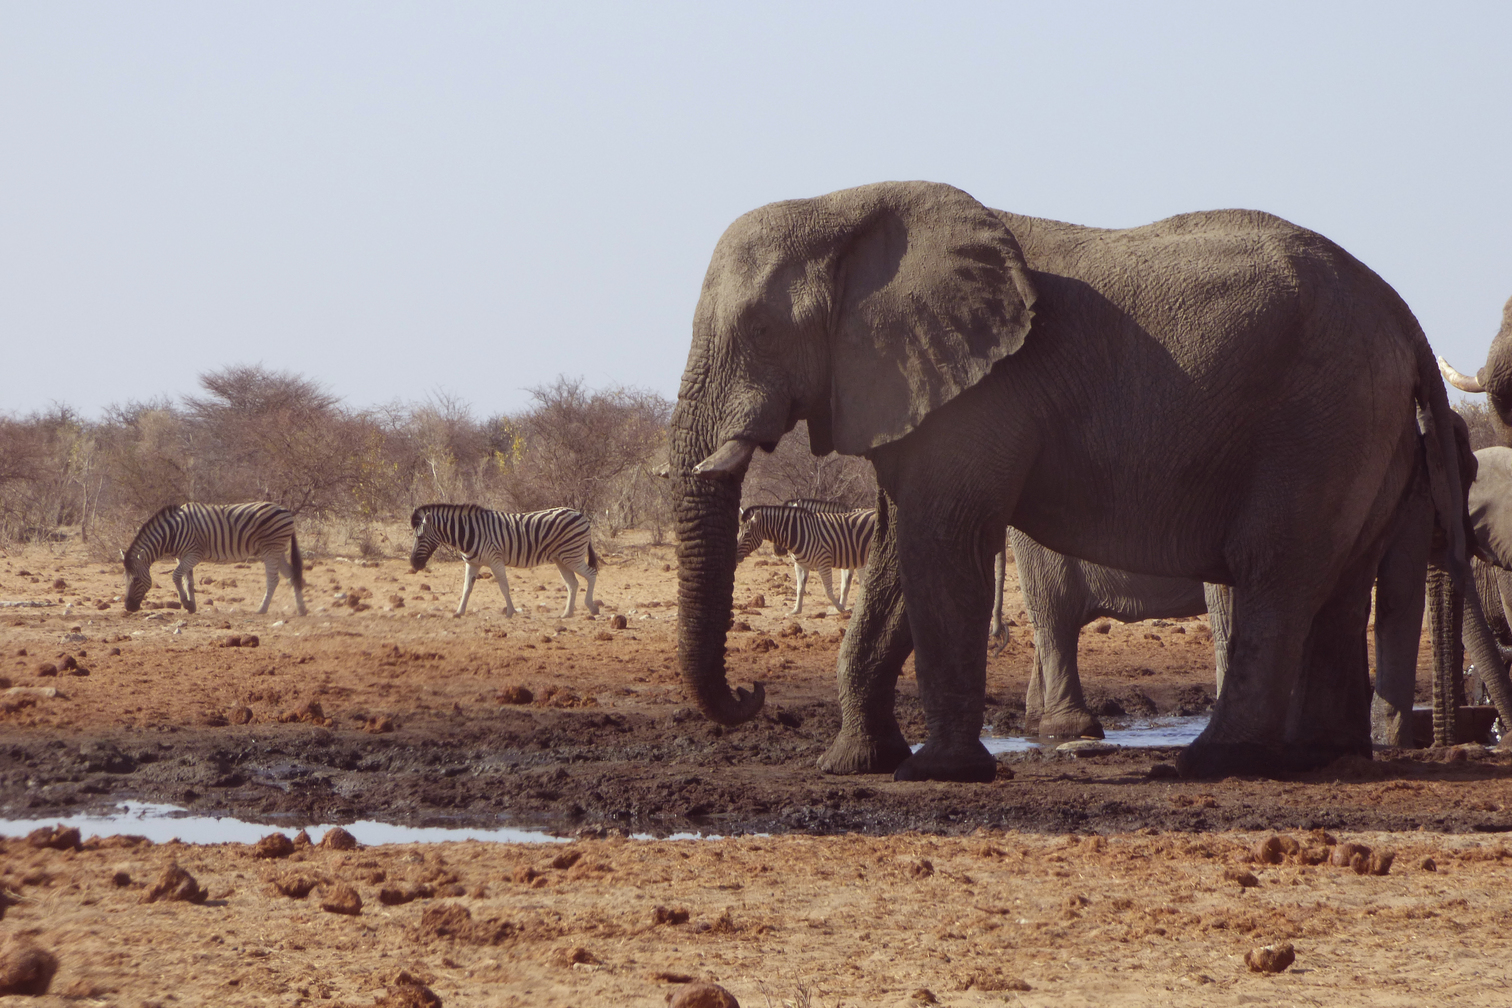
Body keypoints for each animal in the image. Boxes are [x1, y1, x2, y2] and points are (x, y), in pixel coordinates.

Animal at [122, 502, 307, 616]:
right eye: (125, 579)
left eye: (136, 579)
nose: (128, 607)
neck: (172, 532)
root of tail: (287, 511)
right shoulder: (183, 556)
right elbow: (188, 581)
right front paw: (192, 605)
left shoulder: (195, 554)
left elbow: (175, 576)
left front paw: (186, 603)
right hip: (278, 550)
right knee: (292, 574)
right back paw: (301, 609)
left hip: (271, 548)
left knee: (274, 578)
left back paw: (262, 609)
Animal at [408, 503, 600, 618]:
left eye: (419, 537)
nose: (413, 564)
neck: (469, 532)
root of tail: (579, 514)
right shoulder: (472, 563)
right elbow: (467, 588)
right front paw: (459, 611)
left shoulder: (495, 559)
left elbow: (504, 586)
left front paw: (510, 611)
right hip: (561, 558)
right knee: (572, 583)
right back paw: (567, 613)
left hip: (572, 555)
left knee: (591, 574)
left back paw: (592, 607)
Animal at [737, 503, 876, 614]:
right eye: (738, 532)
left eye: (747, 534)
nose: (735, 555)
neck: (798, 533)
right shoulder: (800, 564)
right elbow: (799, 588)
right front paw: (796, 610)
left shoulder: (824, 562)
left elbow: (828, 590)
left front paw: (840, 608)